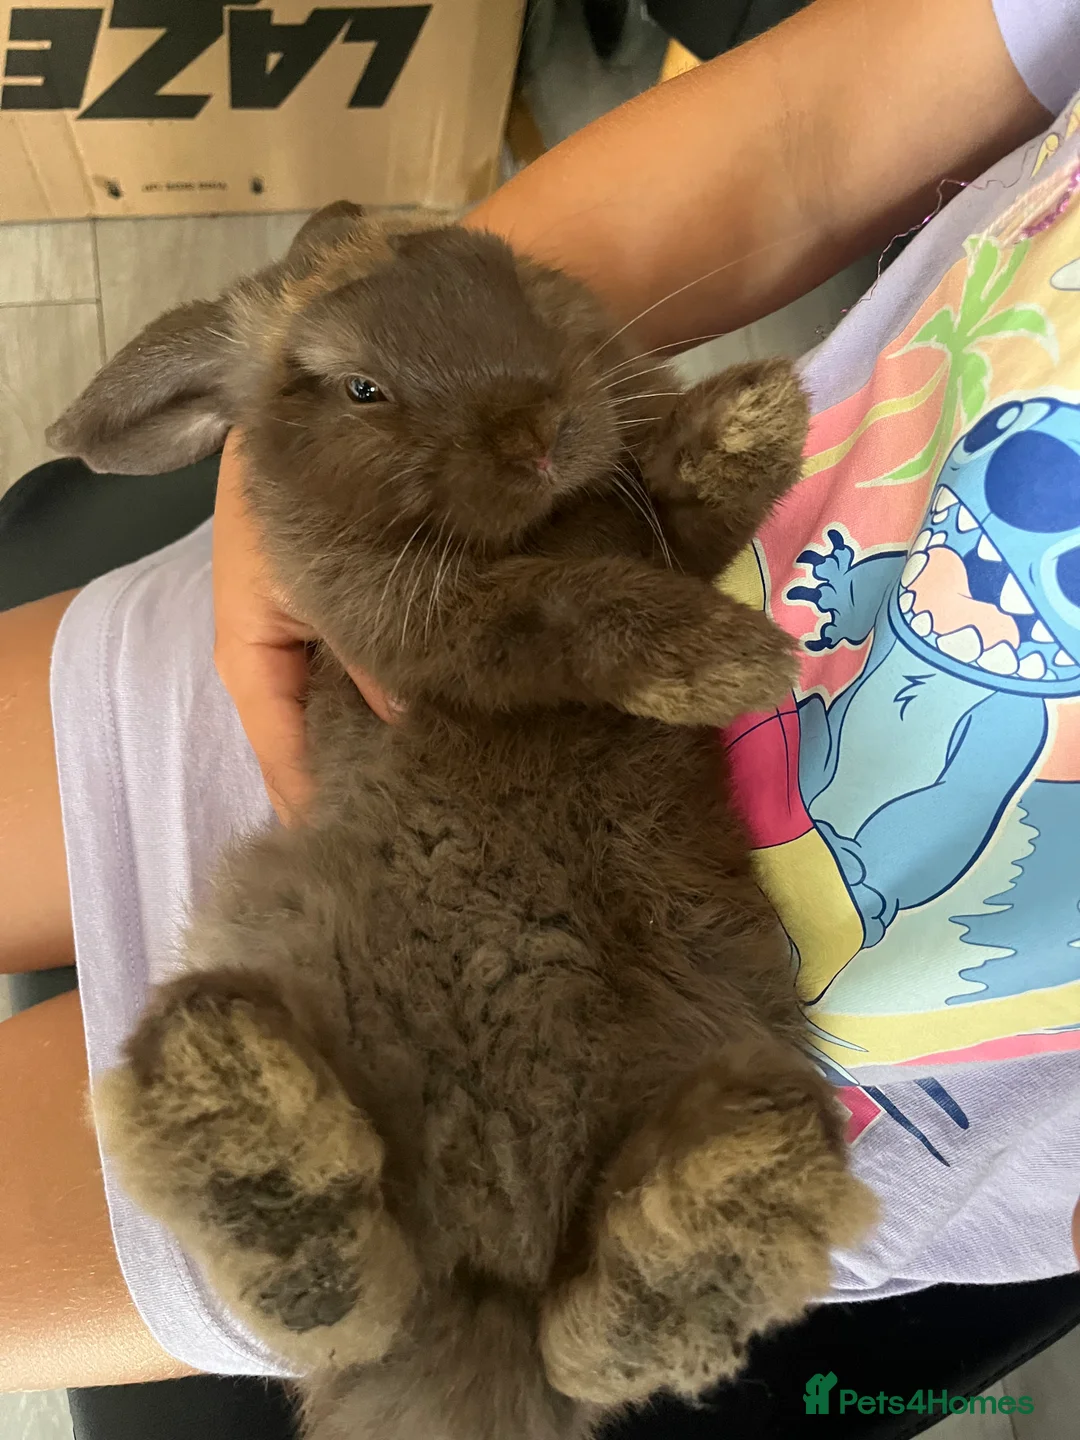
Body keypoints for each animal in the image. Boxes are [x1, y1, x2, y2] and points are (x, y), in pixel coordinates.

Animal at [48, 201, 876, 1440]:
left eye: (494, 266)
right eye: (358, 388)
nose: (540, 432)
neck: (541, 515)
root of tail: (497, 1258)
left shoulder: (645, 525)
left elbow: (685, 514)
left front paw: (754, 412)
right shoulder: (430, 629)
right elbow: (570, 610)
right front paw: (727, 659)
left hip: (740, 1058)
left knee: (591, 1311)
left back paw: (709, 1218)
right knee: (372, 1280)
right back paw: (251, 1130)